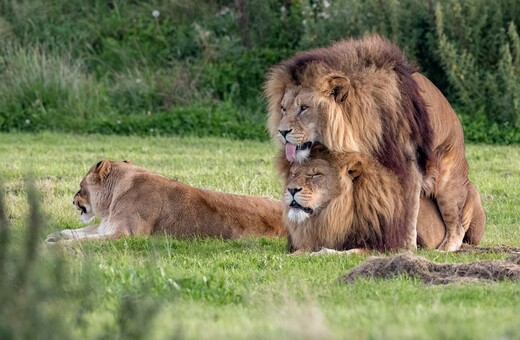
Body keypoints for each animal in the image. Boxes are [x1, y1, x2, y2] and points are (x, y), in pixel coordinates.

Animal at [45, 160, 284, 243]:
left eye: (80, 187)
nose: (72, 200)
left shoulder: (126, 235)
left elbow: (84, 241)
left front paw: (54, 247)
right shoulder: (106, 226)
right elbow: (74, 232)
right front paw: (53, 236)